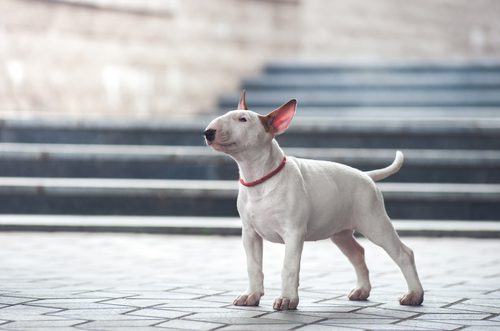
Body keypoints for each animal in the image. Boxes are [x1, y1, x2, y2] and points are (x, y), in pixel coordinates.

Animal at [205, 91, 424, 312]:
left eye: (243, 119)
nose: (208, 132)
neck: (260, 179)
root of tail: (366, 175)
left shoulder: (294, 233)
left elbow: (289, 267)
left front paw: (286, 300)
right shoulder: (250, 234)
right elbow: (253, 266)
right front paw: (251, 295)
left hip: (374, 222)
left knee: (404, 253)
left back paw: (414, 295)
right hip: (340, 233)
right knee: (358, 253)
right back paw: (361, 290)